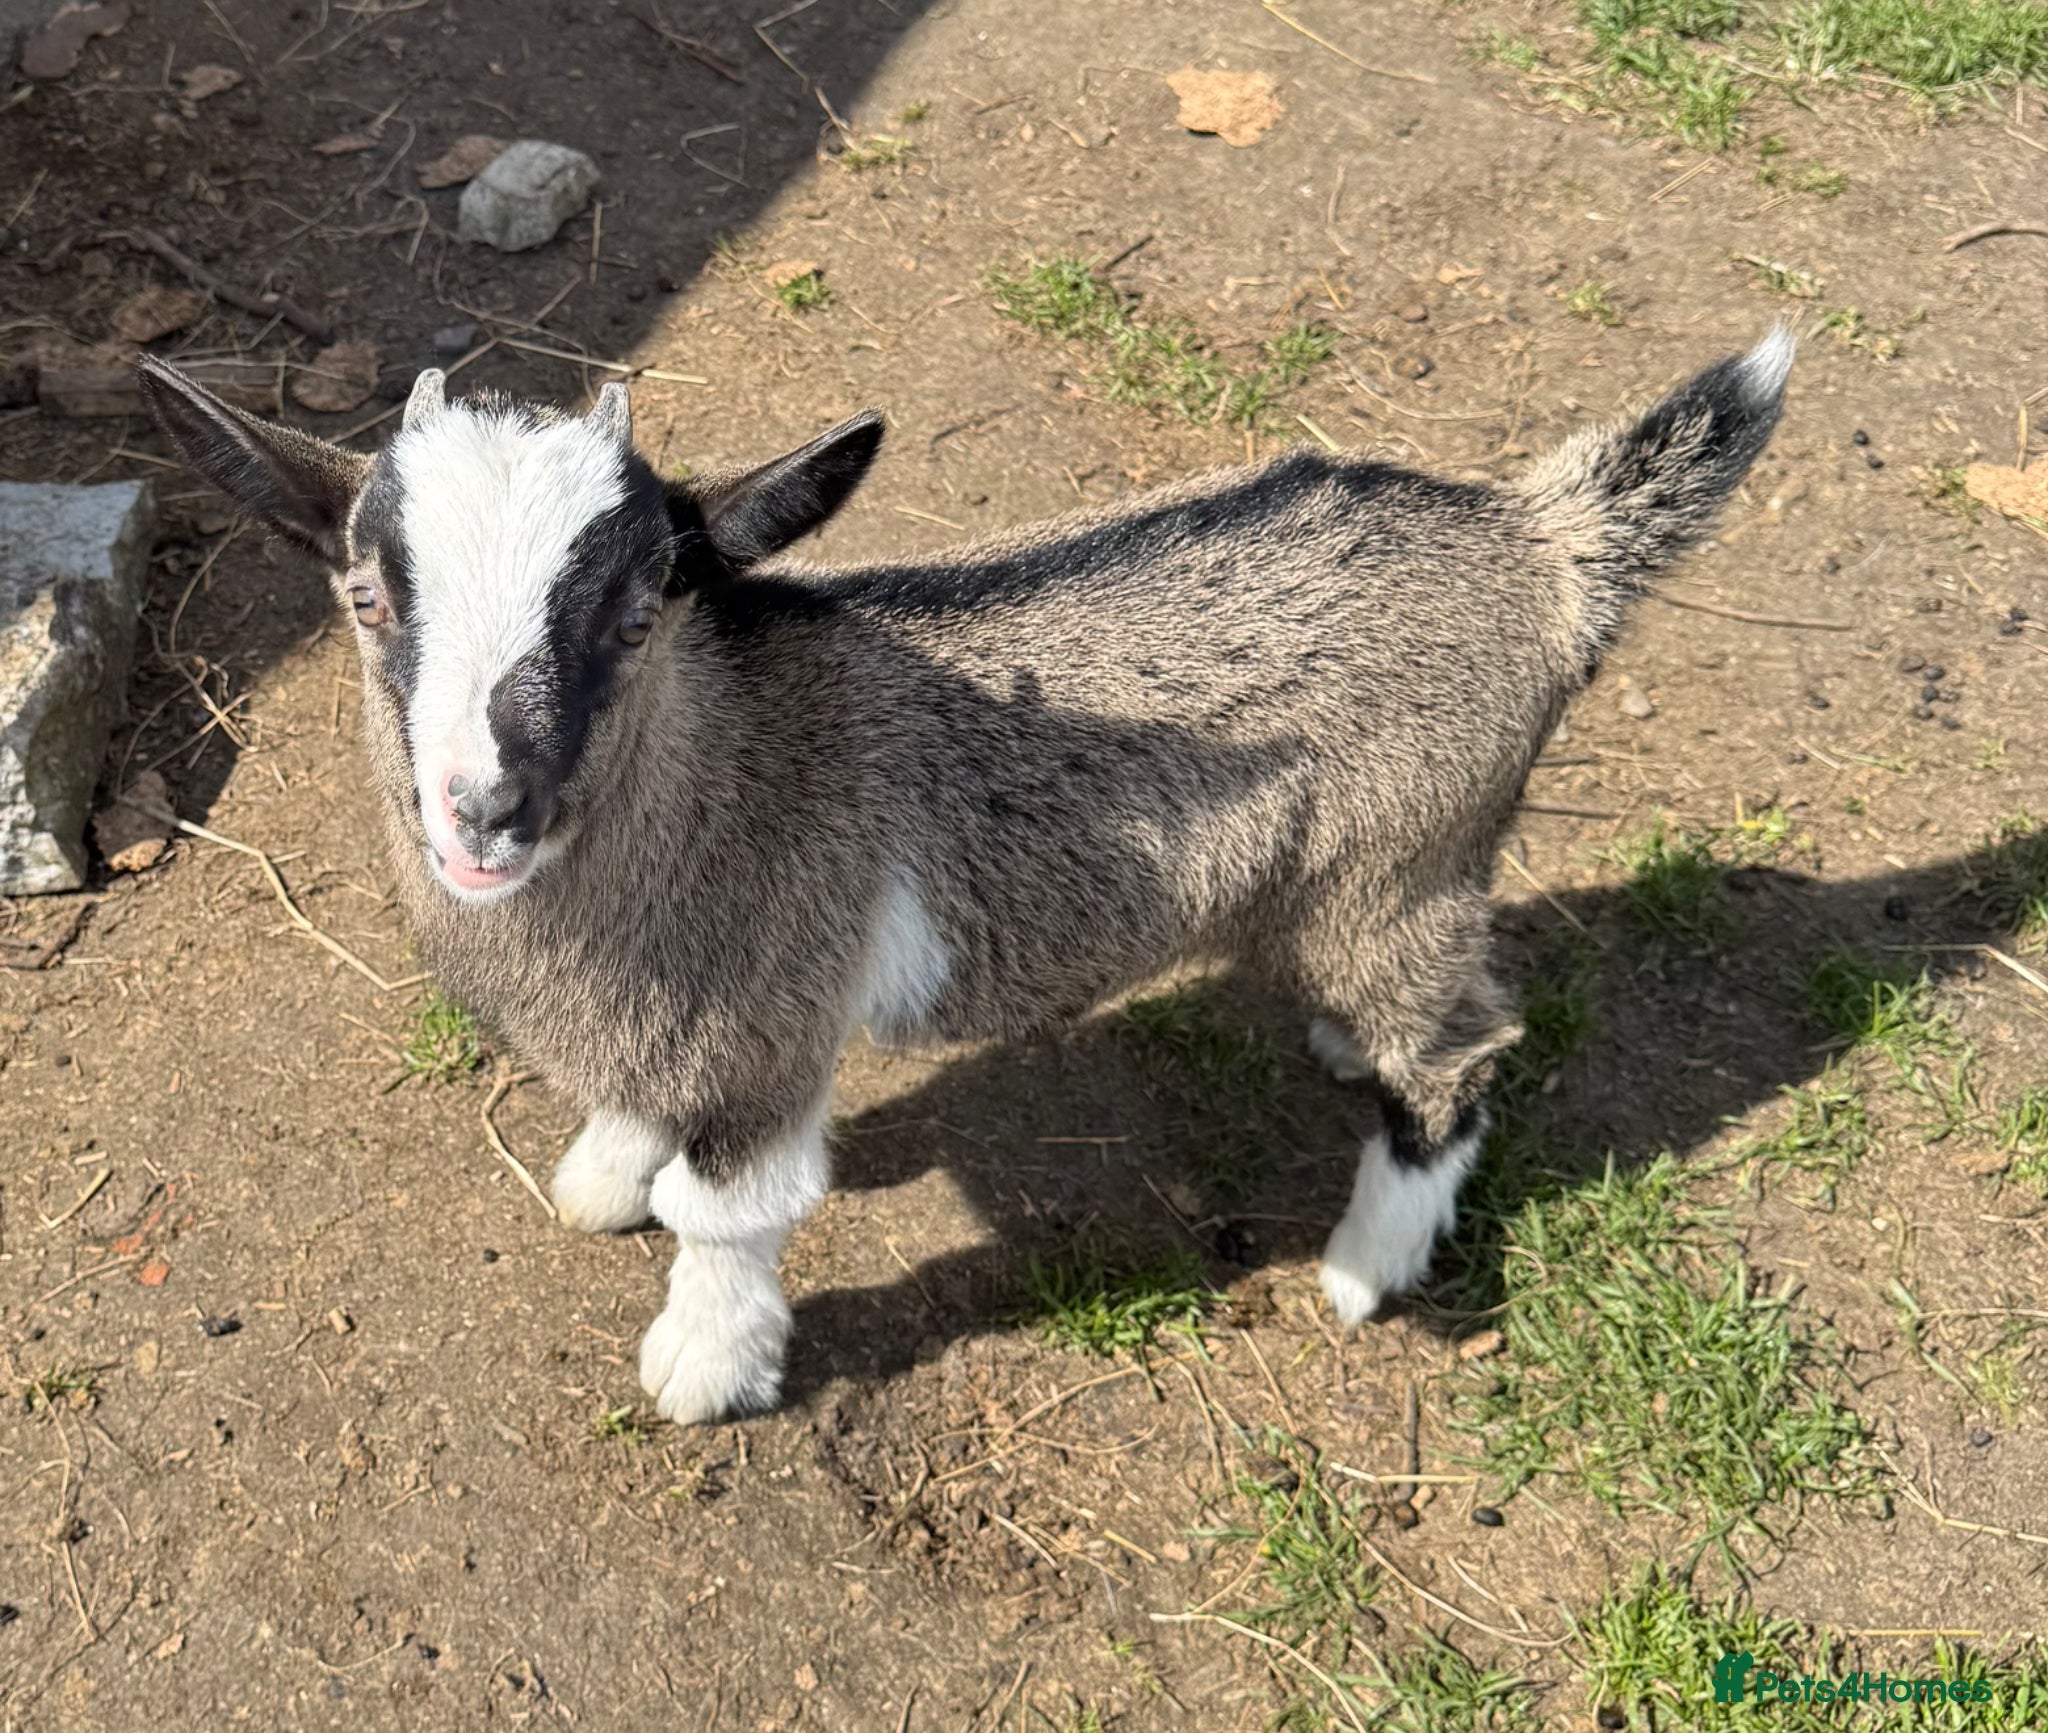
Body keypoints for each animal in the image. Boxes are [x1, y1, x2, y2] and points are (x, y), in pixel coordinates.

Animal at [138, 329, 1792, 1423]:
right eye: (365, 598)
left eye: (645, 605)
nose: (488, 809)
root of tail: (1540, 546)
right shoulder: (674, 1012)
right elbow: (637, 1117)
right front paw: (606, 1172)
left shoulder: (769, 1017)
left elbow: (730, 1215)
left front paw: (703, 1370)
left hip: (1404, 865)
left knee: (1461, 1056)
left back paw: (1365, 1266)